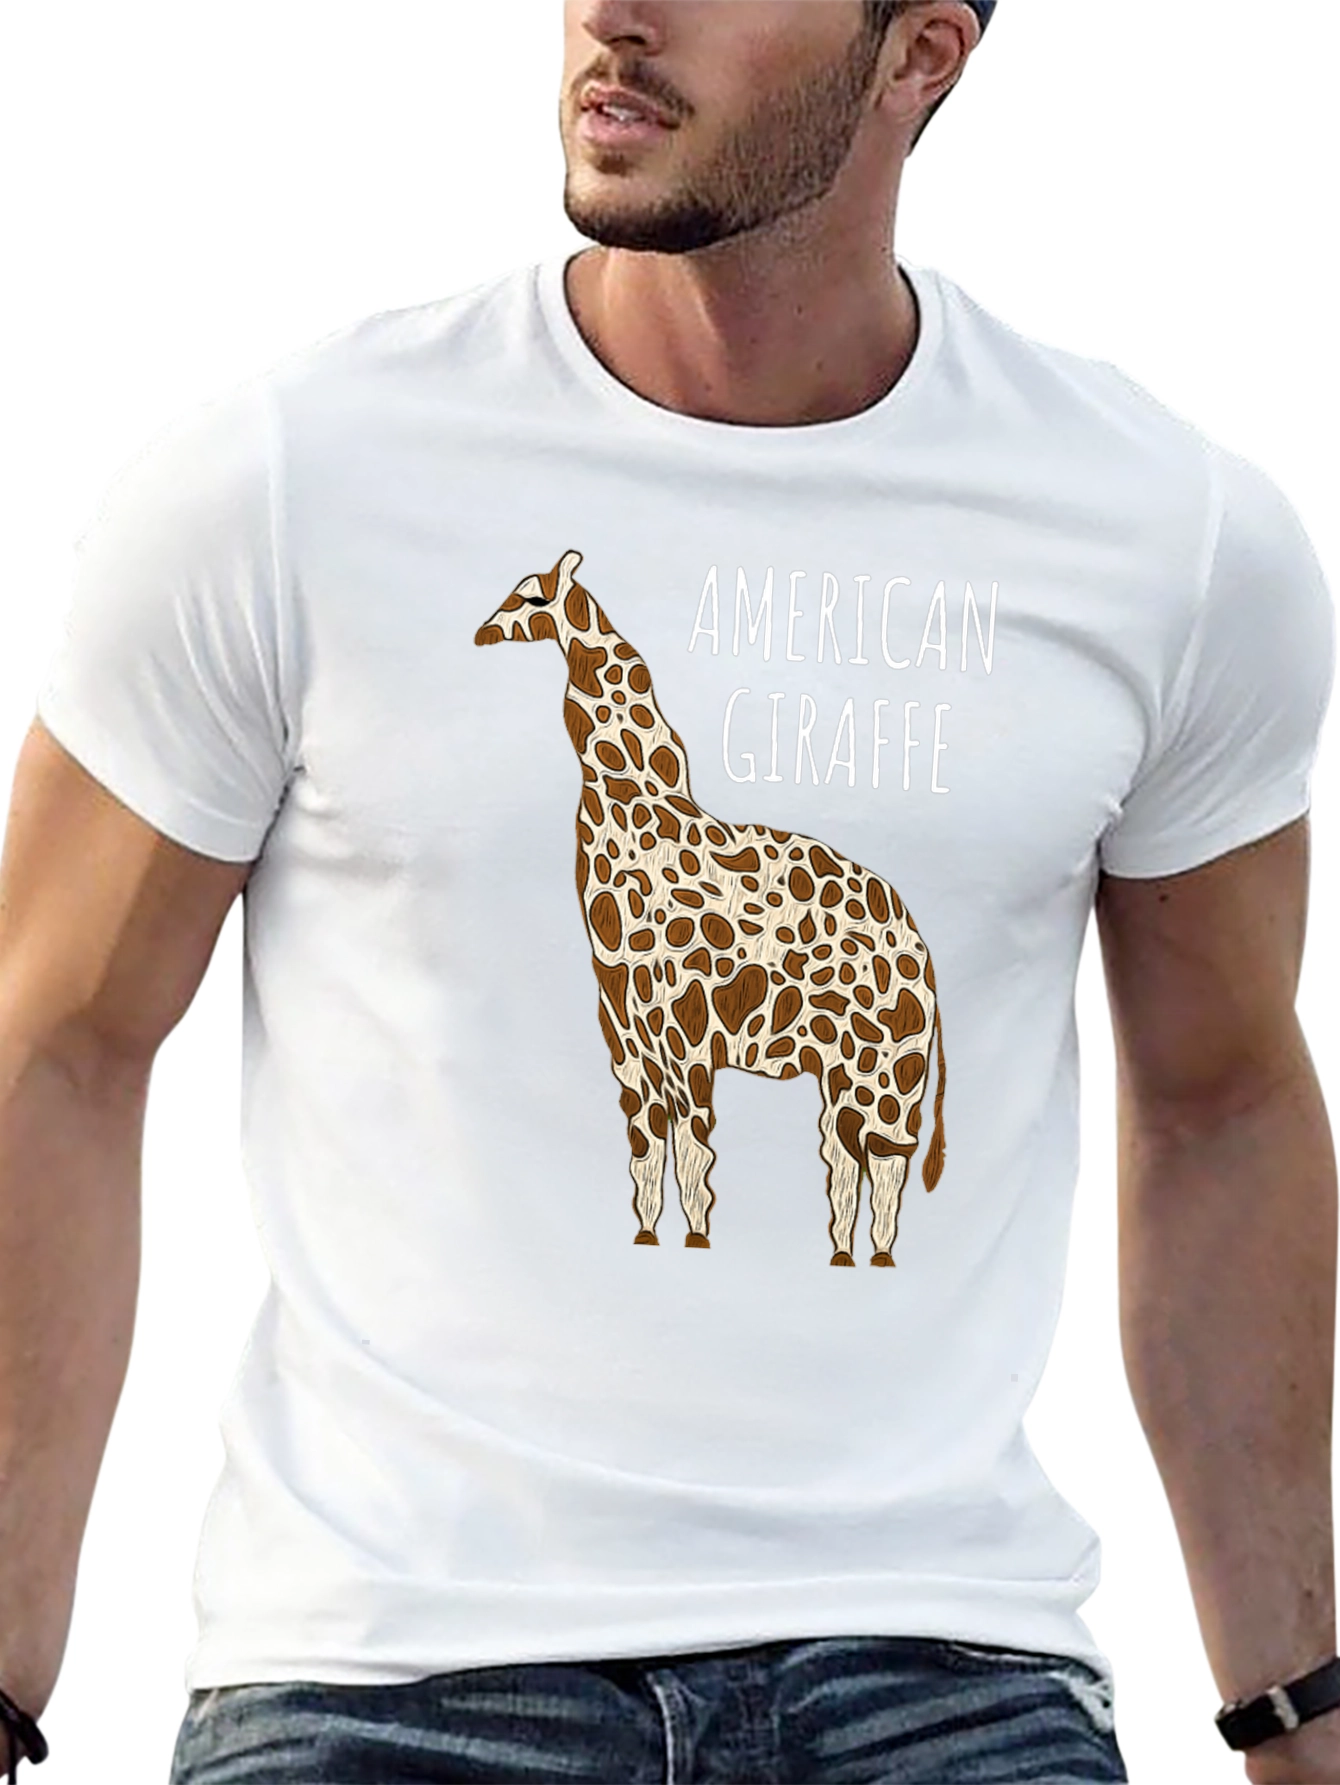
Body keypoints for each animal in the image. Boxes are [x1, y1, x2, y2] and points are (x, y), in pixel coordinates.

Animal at [475, 549, 946, 1268]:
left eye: (530, 597)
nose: (480, 632)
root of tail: (925, 955)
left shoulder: (687, 1032)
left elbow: (695, 1152)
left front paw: (695, 1240)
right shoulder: (626, 1036)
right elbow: (646, 1151)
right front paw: (648, 1237)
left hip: (888, 1064)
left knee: (886, 1159)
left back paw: (879, 1261)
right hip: (842, 1069)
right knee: (845, 1157)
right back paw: (844, 1257)